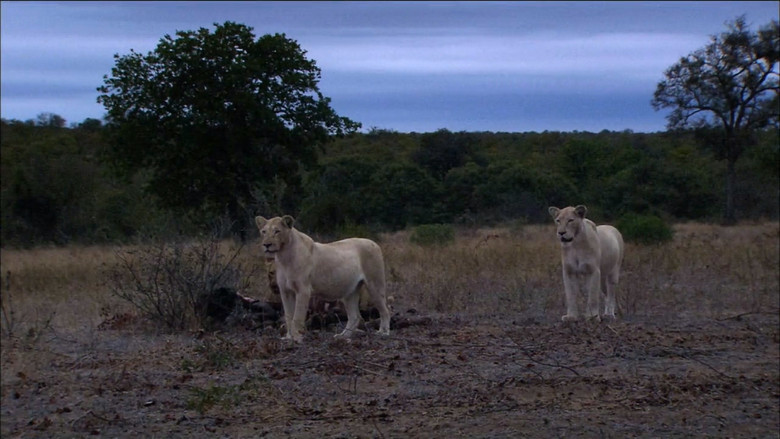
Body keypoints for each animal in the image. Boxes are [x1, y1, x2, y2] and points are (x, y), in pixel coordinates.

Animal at [255, 215, 391, 342]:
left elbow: (297, 317)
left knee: (385, 310)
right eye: (264, 231)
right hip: (349, 291)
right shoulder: (285, 291)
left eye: (277, 231)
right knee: (355, 316)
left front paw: (296, 338)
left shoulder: (303, 290)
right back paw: (342, 336)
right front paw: (288, 337)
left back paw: (383, 332)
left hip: (374, 284)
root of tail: (374, 243)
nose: (266, 245)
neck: (284, 257)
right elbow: (288, 316)